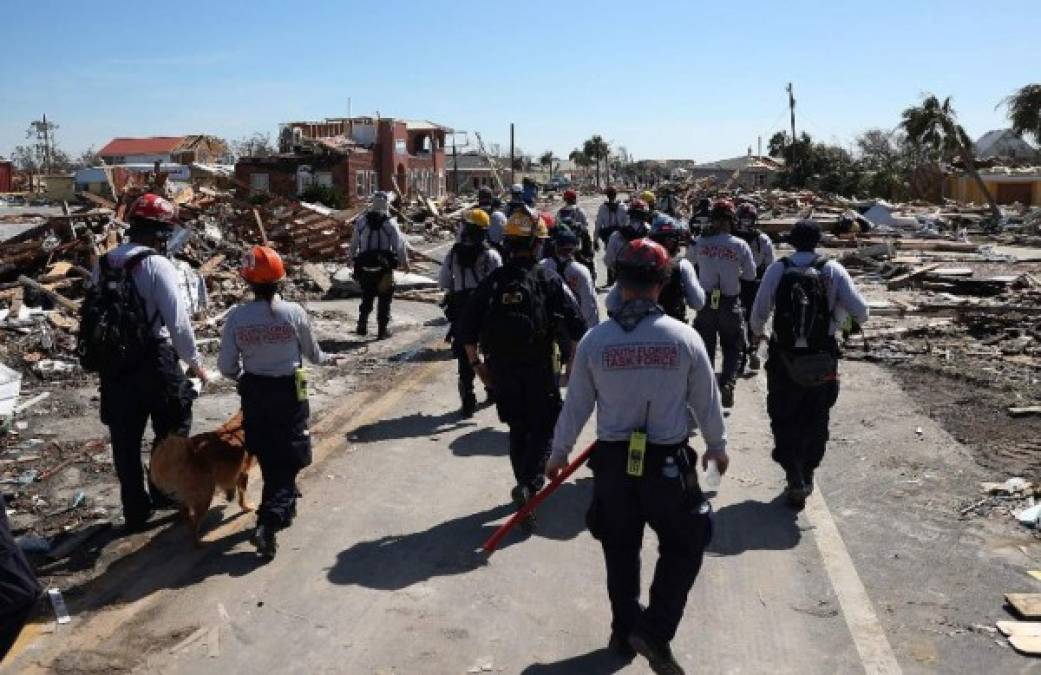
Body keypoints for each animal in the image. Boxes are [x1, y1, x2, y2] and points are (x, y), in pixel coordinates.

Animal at [149, 410, 255, 541]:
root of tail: (189, 455)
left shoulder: (232, 472)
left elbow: (231, 486)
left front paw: (230, 496)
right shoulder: (243, 472)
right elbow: (242, 496)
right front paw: (246, 507)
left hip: (189, 496)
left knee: (187, 516)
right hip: (205, 496)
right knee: (194, 525)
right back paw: (198, 542)